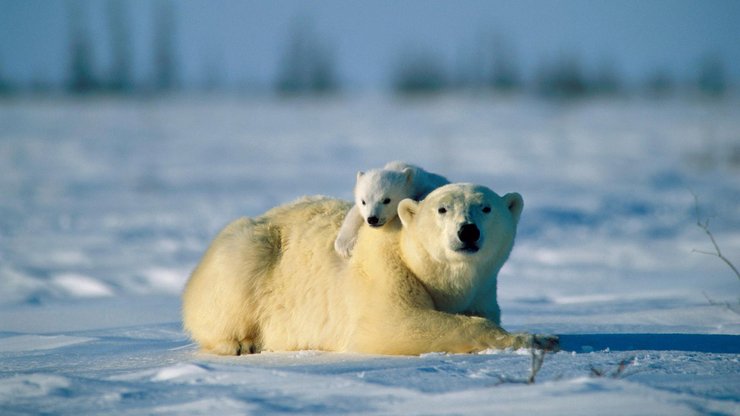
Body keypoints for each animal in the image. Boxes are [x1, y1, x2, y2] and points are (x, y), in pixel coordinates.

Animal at [182, 184, 556, 356]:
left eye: (486, 207)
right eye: (442, 209)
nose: (468, 231)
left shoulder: (483, 289)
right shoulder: (385, 270)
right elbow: (396, 323)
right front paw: (538, 338)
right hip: (249, 252)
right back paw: (241, 343)